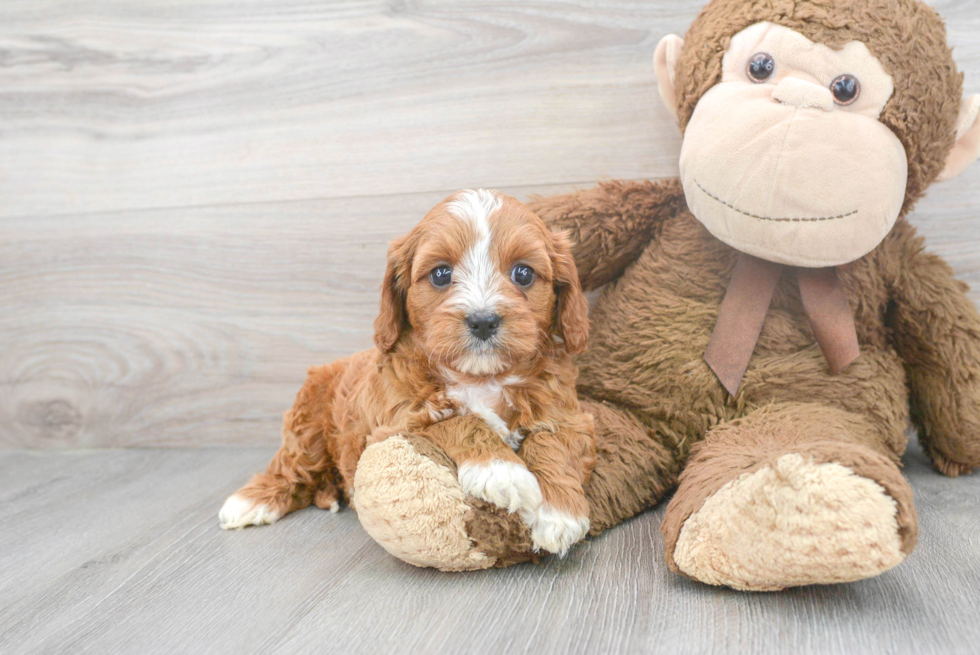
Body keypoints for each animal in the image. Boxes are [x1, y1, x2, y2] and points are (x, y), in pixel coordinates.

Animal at [218, 188, 592, 552]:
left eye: (524, 273)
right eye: (441, 274)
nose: (483, 321)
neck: (480, 377)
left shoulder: (568, 415)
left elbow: (553, 443)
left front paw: (560, 514)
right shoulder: (395, 424)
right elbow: (459, 420)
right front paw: (501, 471)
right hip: (307, 421)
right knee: (293, 465)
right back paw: (252, 501)